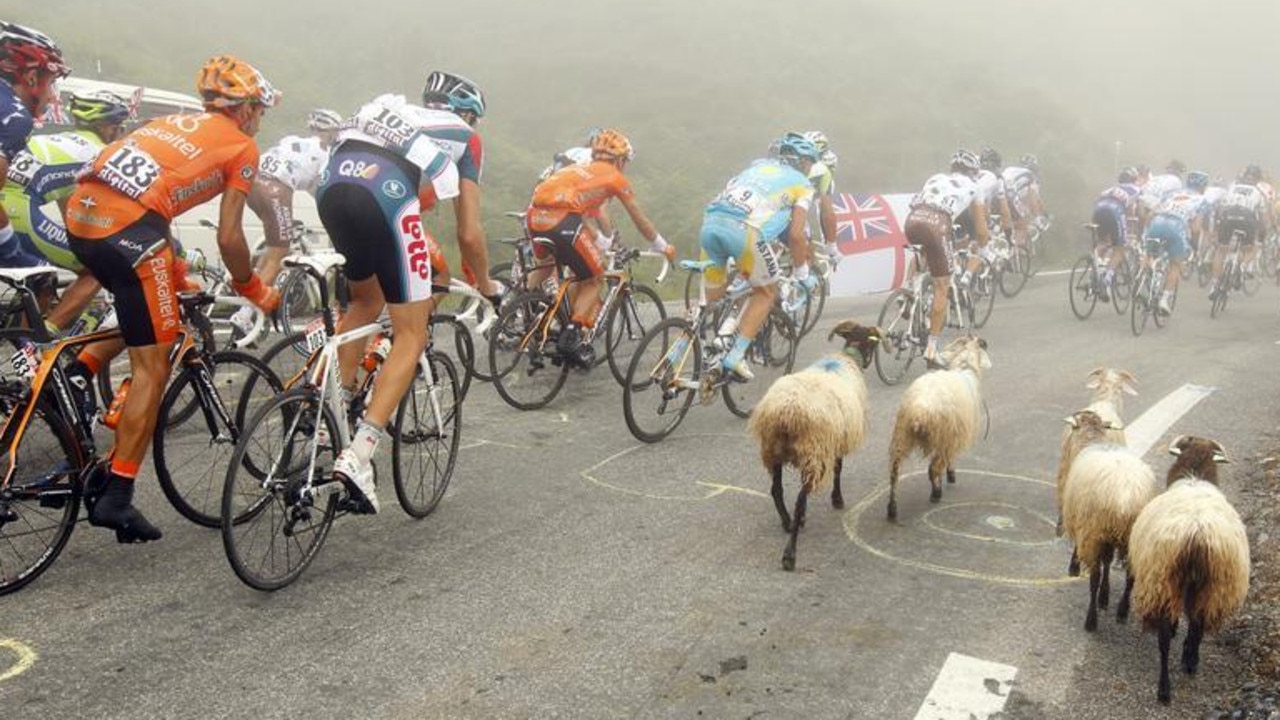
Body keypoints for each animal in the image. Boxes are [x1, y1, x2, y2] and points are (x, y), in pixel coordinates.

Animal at [747, 316, 880, 568]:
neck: (847, 358)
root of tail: (786, 411)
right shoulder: (835, 442)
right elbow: (838, 469)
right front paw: (837, 500)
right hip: (813, 451)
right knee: (799, 498)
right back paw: (790, 553)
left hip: (775, 450)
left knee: (776, 491)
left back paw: (788, 522)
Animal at [890, 333, 988, 517]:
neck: (964, 367)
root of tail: (920, 411)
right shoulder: (954, 436)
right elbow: (950, 459)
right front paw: (951, 474)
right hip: (942, 436)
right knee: (933, 468)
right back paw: (936, 494)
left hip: (902, 435)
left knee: (894, 473)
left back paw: (892, 509)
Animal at [1059, 417, 1162, 630]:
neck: (1093, 439)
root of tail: (1125, 496)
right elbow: (1108, 562)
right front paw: (1105, 597)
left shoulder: (1084, 523)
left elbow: (1085, 554)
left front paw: (1074, 567)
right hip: (1133, 535)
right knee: (1130, 575)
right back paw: (1122, 611)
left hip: (1095, 530)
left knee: (1094, 576)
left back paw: (1091, 620)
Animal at [1131, 430, 1239, 702]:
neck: (1195, 475)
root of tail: (1196, 533)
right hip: (1208, 586)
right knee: (1197, 626)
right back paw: (1188, 663)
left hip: (1167, 582)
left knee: (1166, 638)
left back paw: (1165, 687)